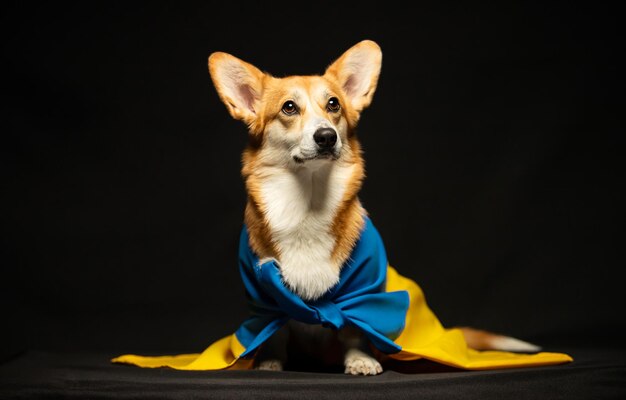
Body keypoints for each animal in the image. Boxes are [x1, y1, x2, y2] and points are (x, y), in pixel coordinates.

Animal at [207, 40, 540, 376]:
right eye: (289, 107)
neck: (309, 202)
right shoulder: (266, 300)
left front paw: (360, 360)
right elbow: (276, 330)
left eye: (334, 105)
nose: (327, 137)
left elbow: (354, 327)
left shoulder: (363, 290)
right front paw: (269, 362)